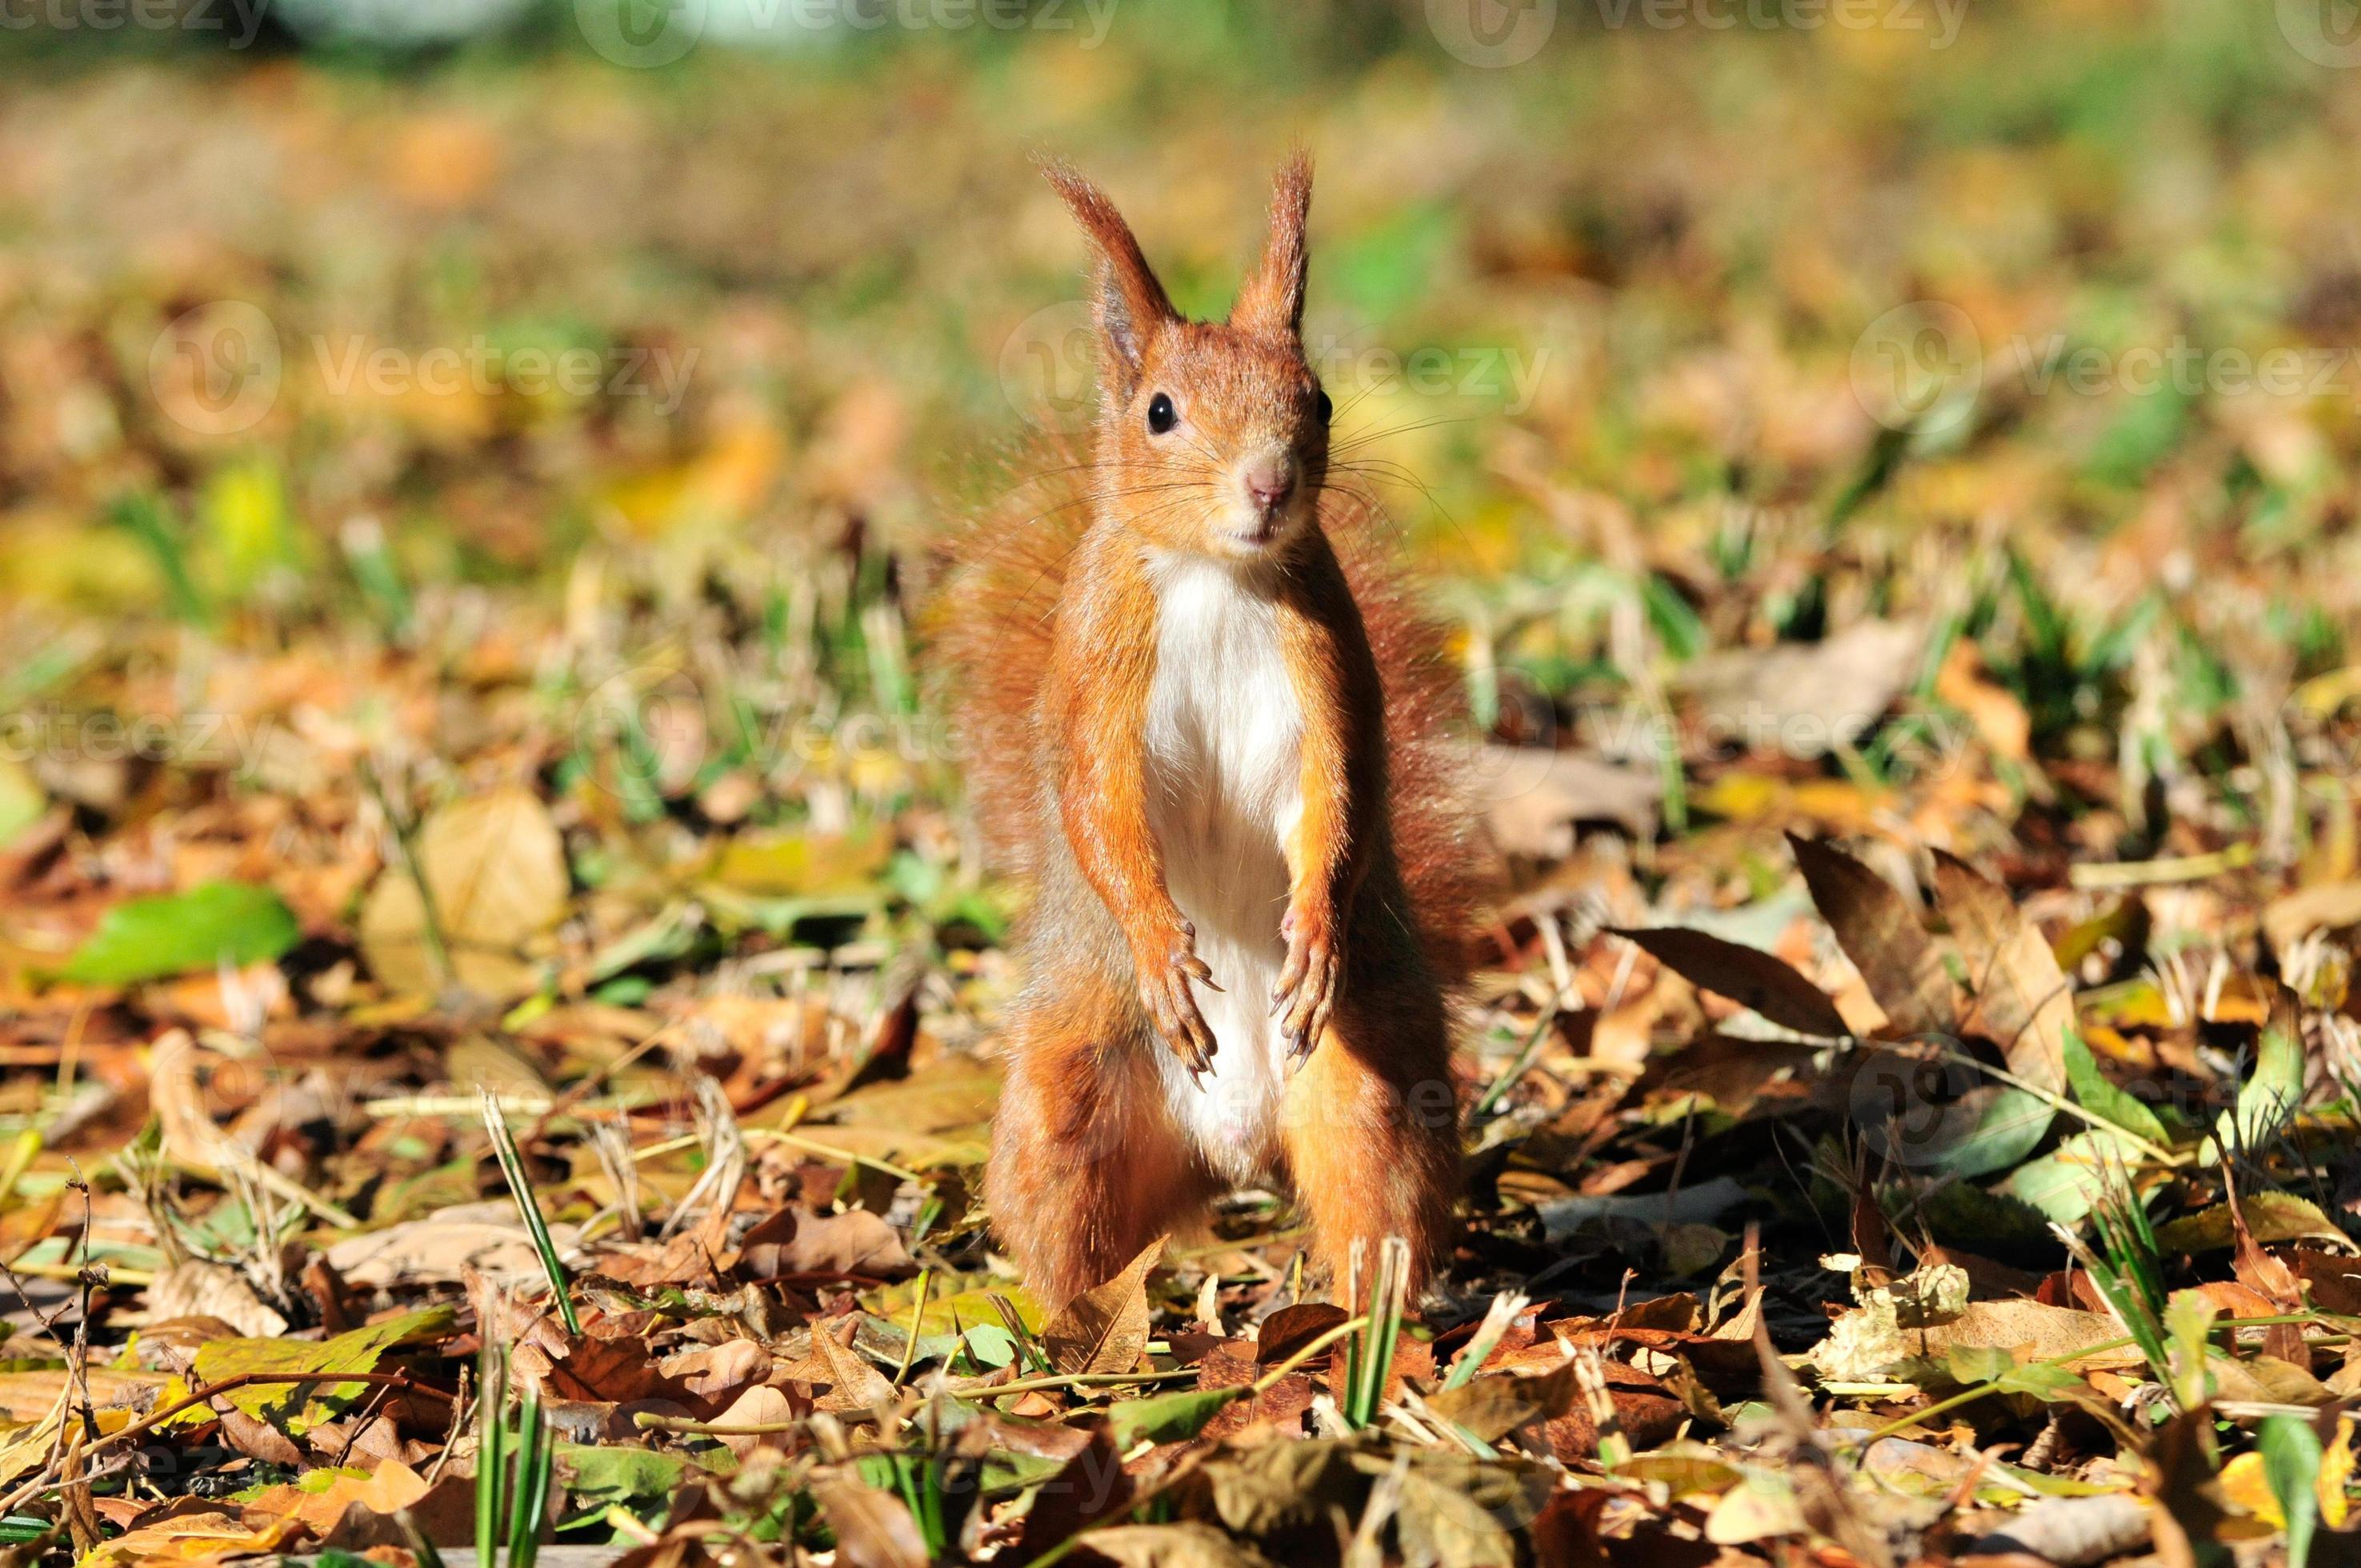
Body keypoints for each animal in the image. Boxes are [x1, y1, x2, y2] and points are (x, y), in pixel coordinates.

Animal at [935, 156, 1485, 1312]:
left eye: (1317, 399)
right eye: (1158, 412)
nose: (1268, 483)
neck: (1217, 577)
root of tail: (1232, 1148)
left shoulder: (1327, 673)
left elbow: (1336, 797)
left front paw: (1312, 932)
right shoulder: (1099, 675)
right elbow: (1098, 807)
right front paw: (1161, 946)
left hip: (1367, 1085)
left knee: (1374, 1206)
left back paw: (1365, 1325)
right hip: (1069, 1096)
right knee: (1069, 1238)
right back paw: (1075, 1331)